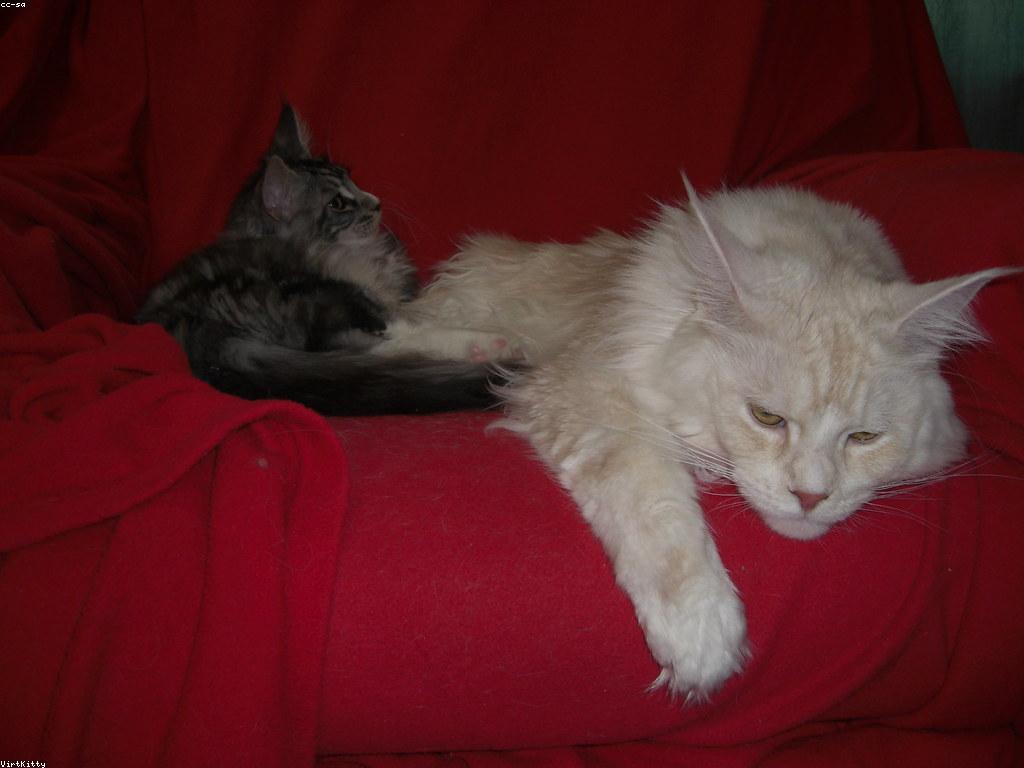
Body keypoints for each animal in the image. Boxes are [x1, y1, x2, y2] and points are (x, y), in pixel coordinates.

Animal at [137, 104, 505, 415]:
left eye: (352, 178)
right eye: (338, 204)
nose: (377, 202)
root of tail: (194, 333)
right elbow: (409, 324)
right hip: (323, 300)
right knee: (388, 344)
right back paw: (491, 343)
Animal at [397, 175, 1014, 697]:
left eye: (863, 437)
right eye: (766, 418)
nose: (810, 498)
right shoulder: (587, 391)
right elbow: (659, 509)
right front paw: (702, 637)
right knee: (401, 333)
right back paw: (474, 346)